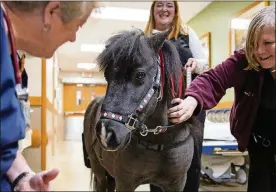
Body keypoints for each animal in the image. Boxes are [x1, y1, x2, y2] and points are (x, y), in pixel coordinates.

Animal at [82, 29, 203, 191]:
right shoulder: (124, 182)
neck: (161, 141)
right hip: (99, 170)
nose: (105, 134)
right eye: (107, 75)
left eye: (140, 75)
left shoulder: (177, 183)